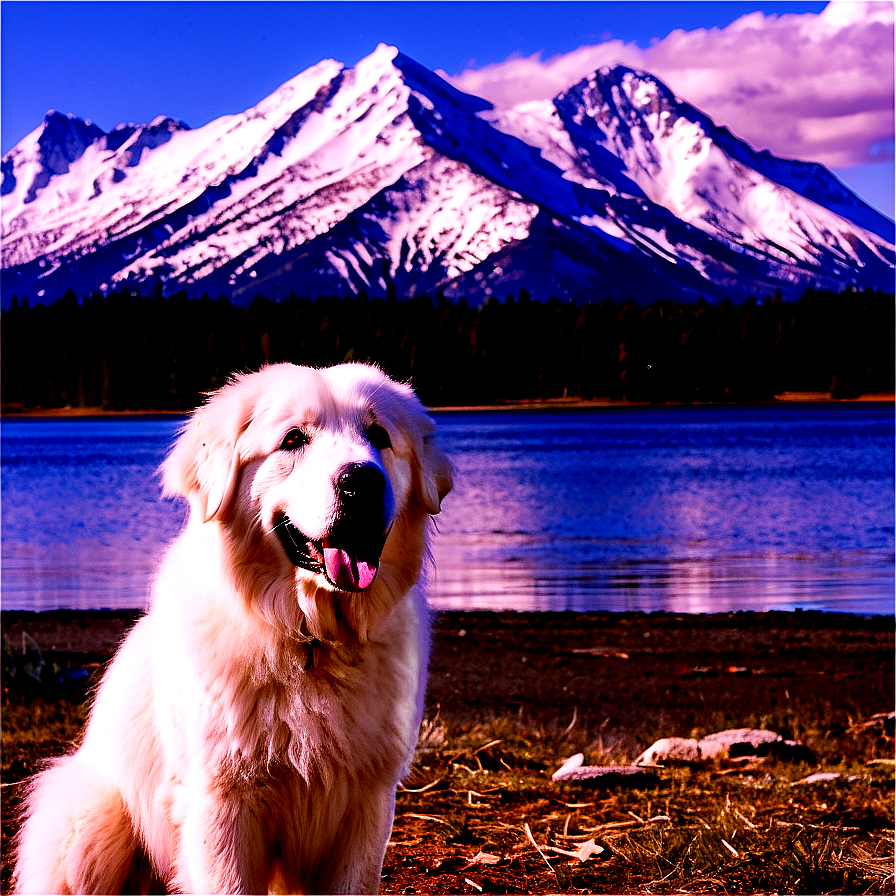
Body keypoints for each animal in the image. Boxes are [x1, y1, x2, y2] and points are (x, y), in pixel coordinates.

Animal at [11, 364, 452, 896]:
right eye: (293, 439)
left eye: (380, 436)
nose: (361, 482)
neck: (310, 639)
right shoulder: (221, 804)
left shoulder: (367, 803)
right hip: (88, 823)